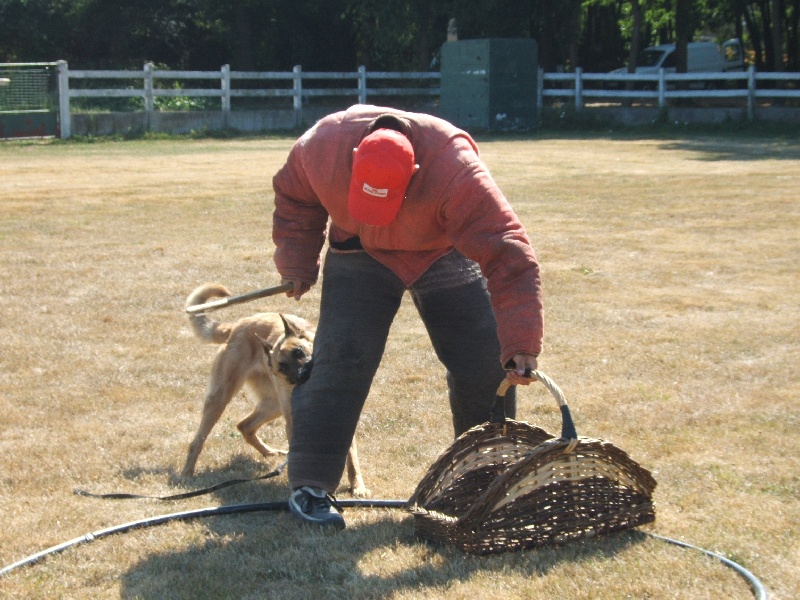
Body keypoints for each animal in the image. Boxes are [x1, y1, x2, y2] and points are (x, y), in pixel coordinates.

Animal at [182, 282, 368, 496]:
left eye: (298, 352)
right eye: (283, 367)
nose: (302, 375)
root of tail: (236, 326)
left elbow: (351, 457)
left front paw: (358, 486)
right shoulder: (294, 421)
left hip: (273, 405)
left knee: (244, 426)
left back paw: (268, 452)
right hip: (221, 398)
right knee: (198, 441)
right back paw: (187, 473)